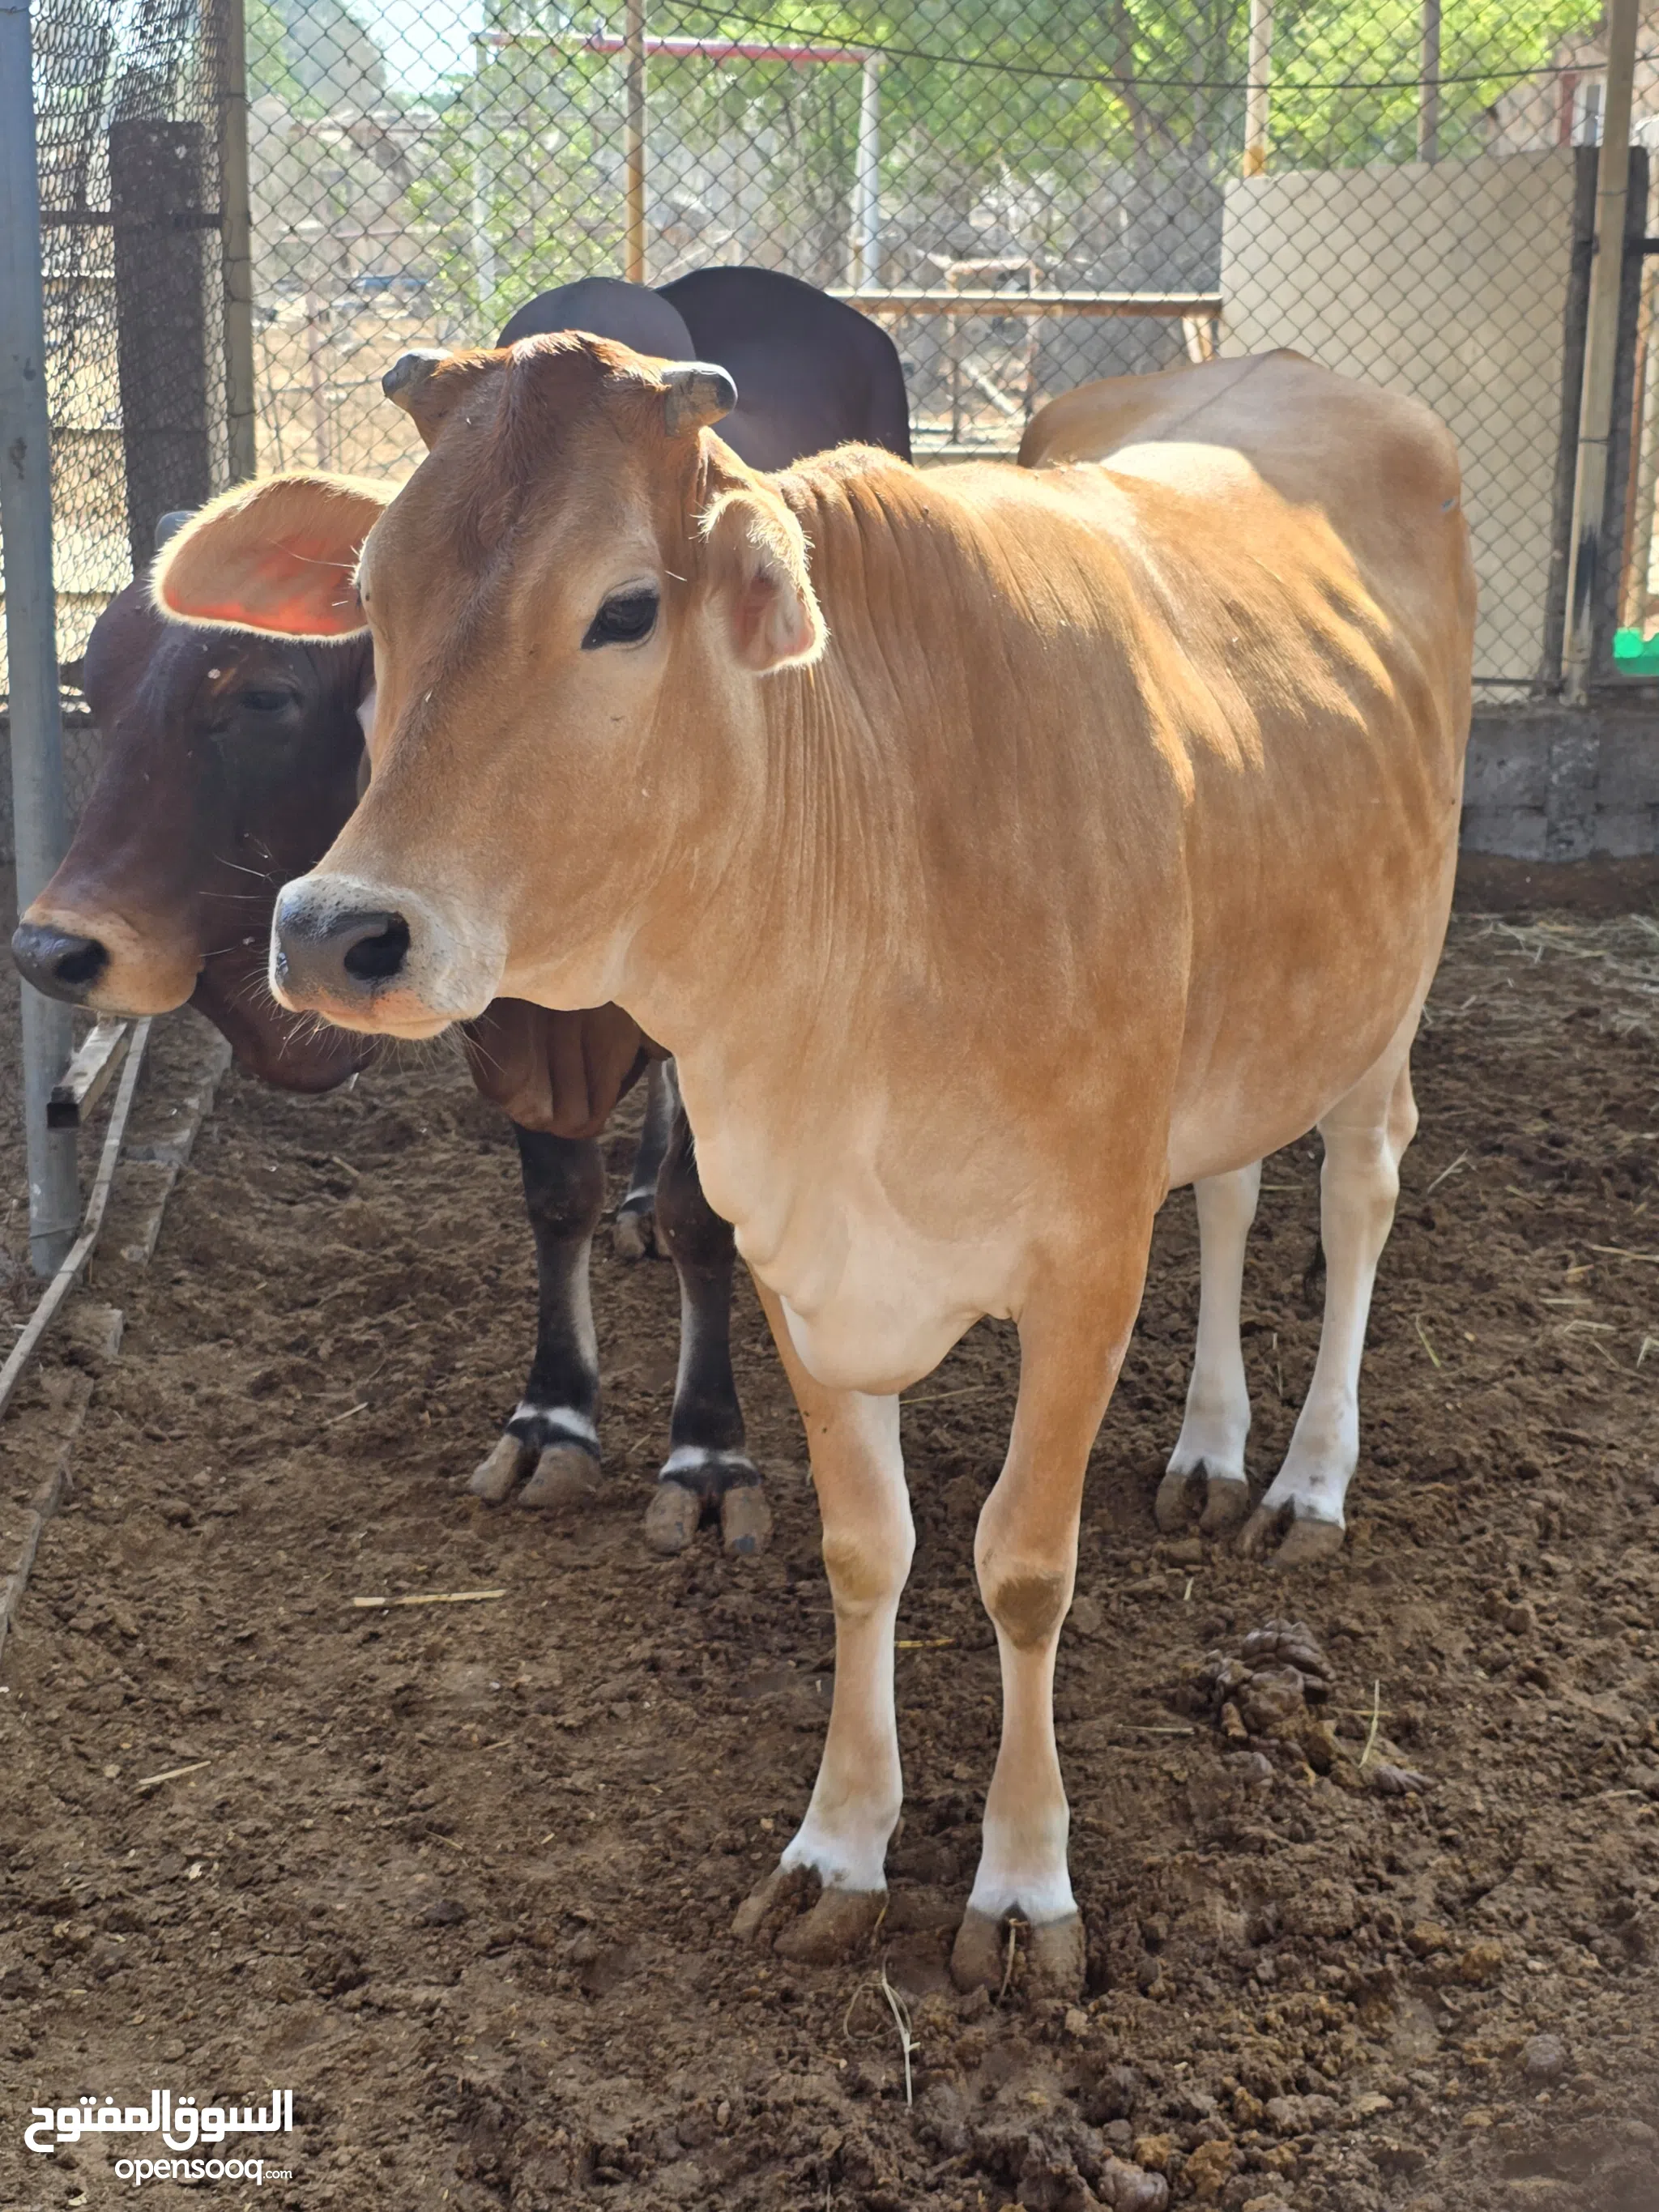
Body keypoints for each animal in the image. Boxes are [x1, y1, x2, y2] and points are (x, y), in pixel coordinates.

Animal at [12, 271, 912, 1557]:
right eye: (98, 675)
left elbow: (707, 1217)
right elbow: (554, 1197)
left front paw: (706, 1449)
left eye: (267, 694)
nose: (56, 946)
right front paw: (554, 1416)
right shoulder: (498, 1013)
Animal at [150, 345, 1473, 1990]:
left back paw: (1302, 1479)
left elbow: (1022, 1565)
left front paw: (1022, 1885)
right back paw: (1208, 1450)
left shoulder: (1087, 1256)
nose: (336, 931)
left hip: (1388, 985)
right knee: (1230, 1186)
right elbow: (865, 1548)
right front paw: (838, 1849)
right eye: (372, 595)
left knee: (1357, 1192)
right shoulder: (794, 1248)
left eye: (625, 608)